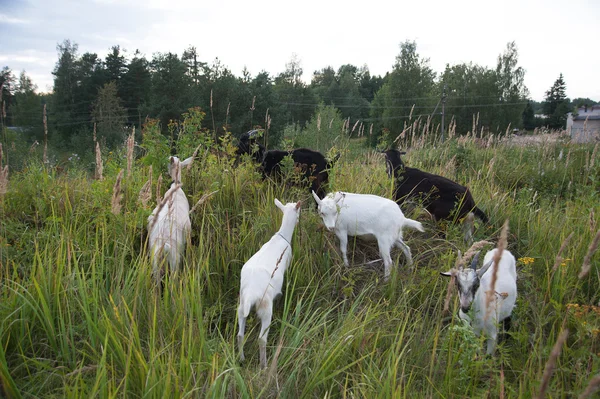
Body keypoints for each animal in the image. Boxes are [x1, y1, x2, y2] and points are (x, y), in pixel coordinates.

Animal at [234, 198, 300, 370]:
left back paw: (241, 359)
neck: (282, 236)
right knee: (262, 339)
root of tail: (251, 293)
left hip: (241, 306)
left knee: (240, 335)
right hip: (265, 308)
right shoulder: (288, 261)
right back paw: (264, 366)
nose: (299, 220)